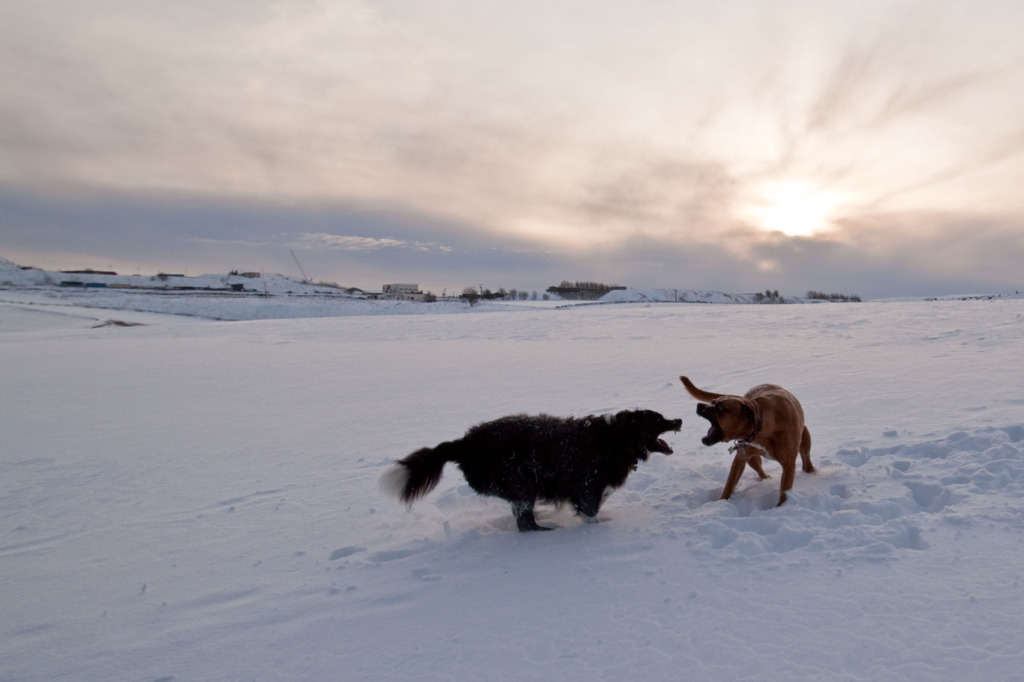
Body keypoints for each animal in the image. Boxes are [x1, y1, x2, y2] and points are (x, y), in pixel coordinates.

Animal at [380, 405, 684, 528]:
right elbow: (591, 515)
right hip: (522, 484)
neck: (617, 437)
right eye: (658, 420)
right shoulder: (587, 490)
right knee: (525, 523)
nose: (679, 420)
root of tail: (465, 442)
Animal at [679, 374, 815, 501]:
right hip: (751, 459)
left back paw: (811, 472)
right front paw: (722, 502)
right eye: (712, 402)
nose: (699, 406)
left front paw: (781, 506)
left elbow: (784, 492)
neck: (761, 428)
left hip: (805, 436)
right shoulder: (740, 458)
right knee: (760, 471)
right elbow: (729, 484)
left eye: (720, 408)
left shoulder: (788, 464)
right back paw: (766, 479)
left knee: (806, 457)